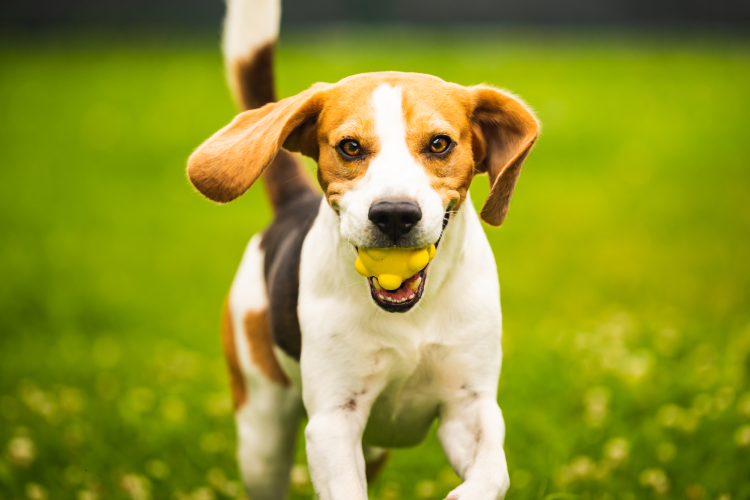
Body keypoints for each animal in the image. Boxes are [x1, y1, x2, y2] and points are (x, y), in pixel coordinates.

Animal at [188, 0, 540, 500]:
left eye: (439, 143)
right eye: (350, 147)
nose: (394, 214)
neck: (410, 317)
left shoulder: (470, 406)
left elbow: (494, 473)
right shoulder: (334, 420)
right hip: (262, 435)